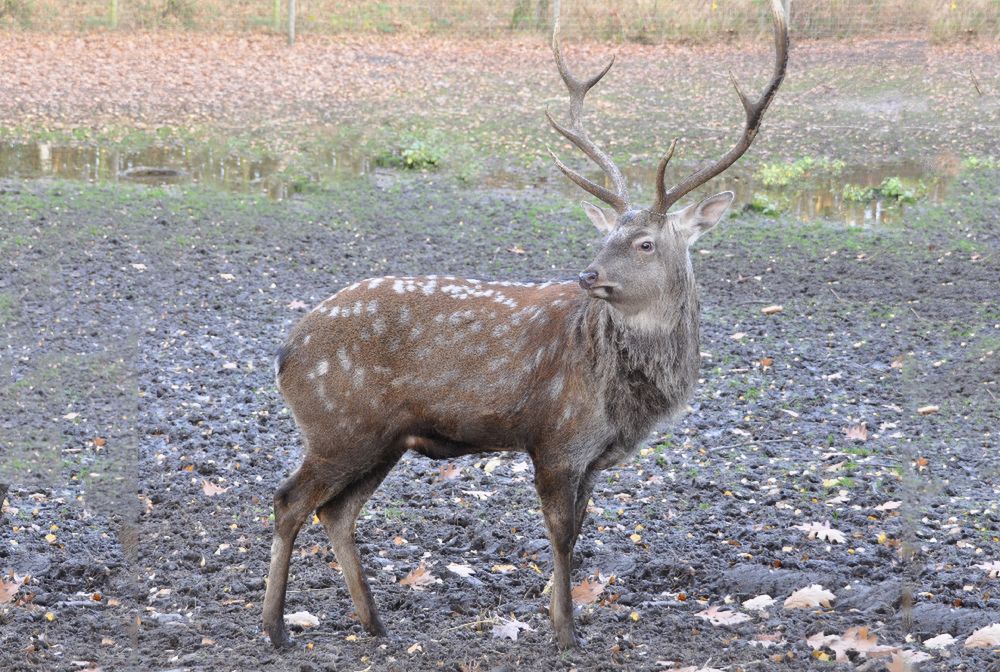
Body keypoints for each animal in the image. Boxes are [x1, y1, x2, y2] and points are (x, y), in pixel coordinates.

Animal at [264, 0, 788, 652]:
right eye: (605, 236)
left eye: (643, 242)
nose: (588, 274)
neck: (622, 401)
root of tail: (285, 352)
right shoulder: (556, 439)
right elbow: (561, 536)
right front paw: (565, 631)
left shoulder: (591, 458)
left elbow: (581, 532)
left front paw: (562, 619)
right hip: (338, 426)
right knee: (289, 502)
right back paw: (275, 628)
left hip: (380, 439)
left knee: (335, 512)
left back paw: (374, 622)